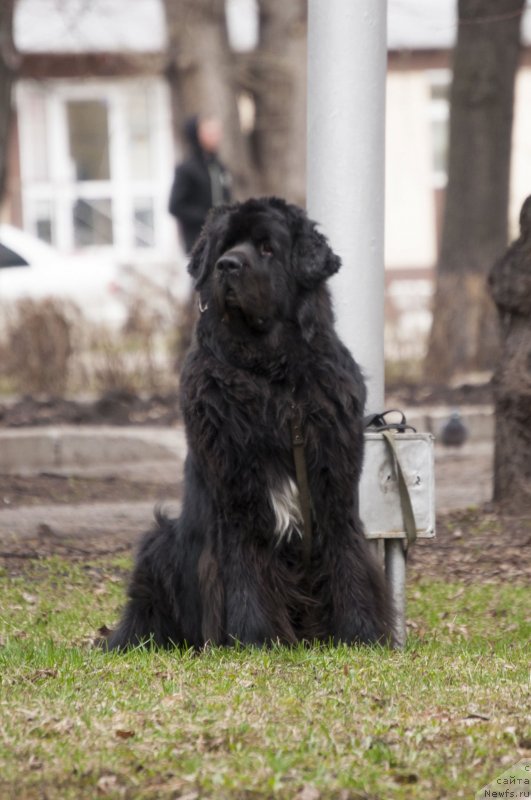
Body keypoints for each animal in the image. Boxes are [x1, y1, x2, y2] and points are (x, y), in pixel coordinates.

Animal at [106, 198, 392, 648]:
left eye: (267, 248)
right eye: (224, 247)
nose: (227, 265)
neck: (273, 374)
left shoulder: (334, 485)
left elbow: (346, 555)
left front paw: (360, 632)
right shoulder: (238, 489)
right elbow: (245, 565)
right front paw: (254, 638)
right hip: (161, 541)